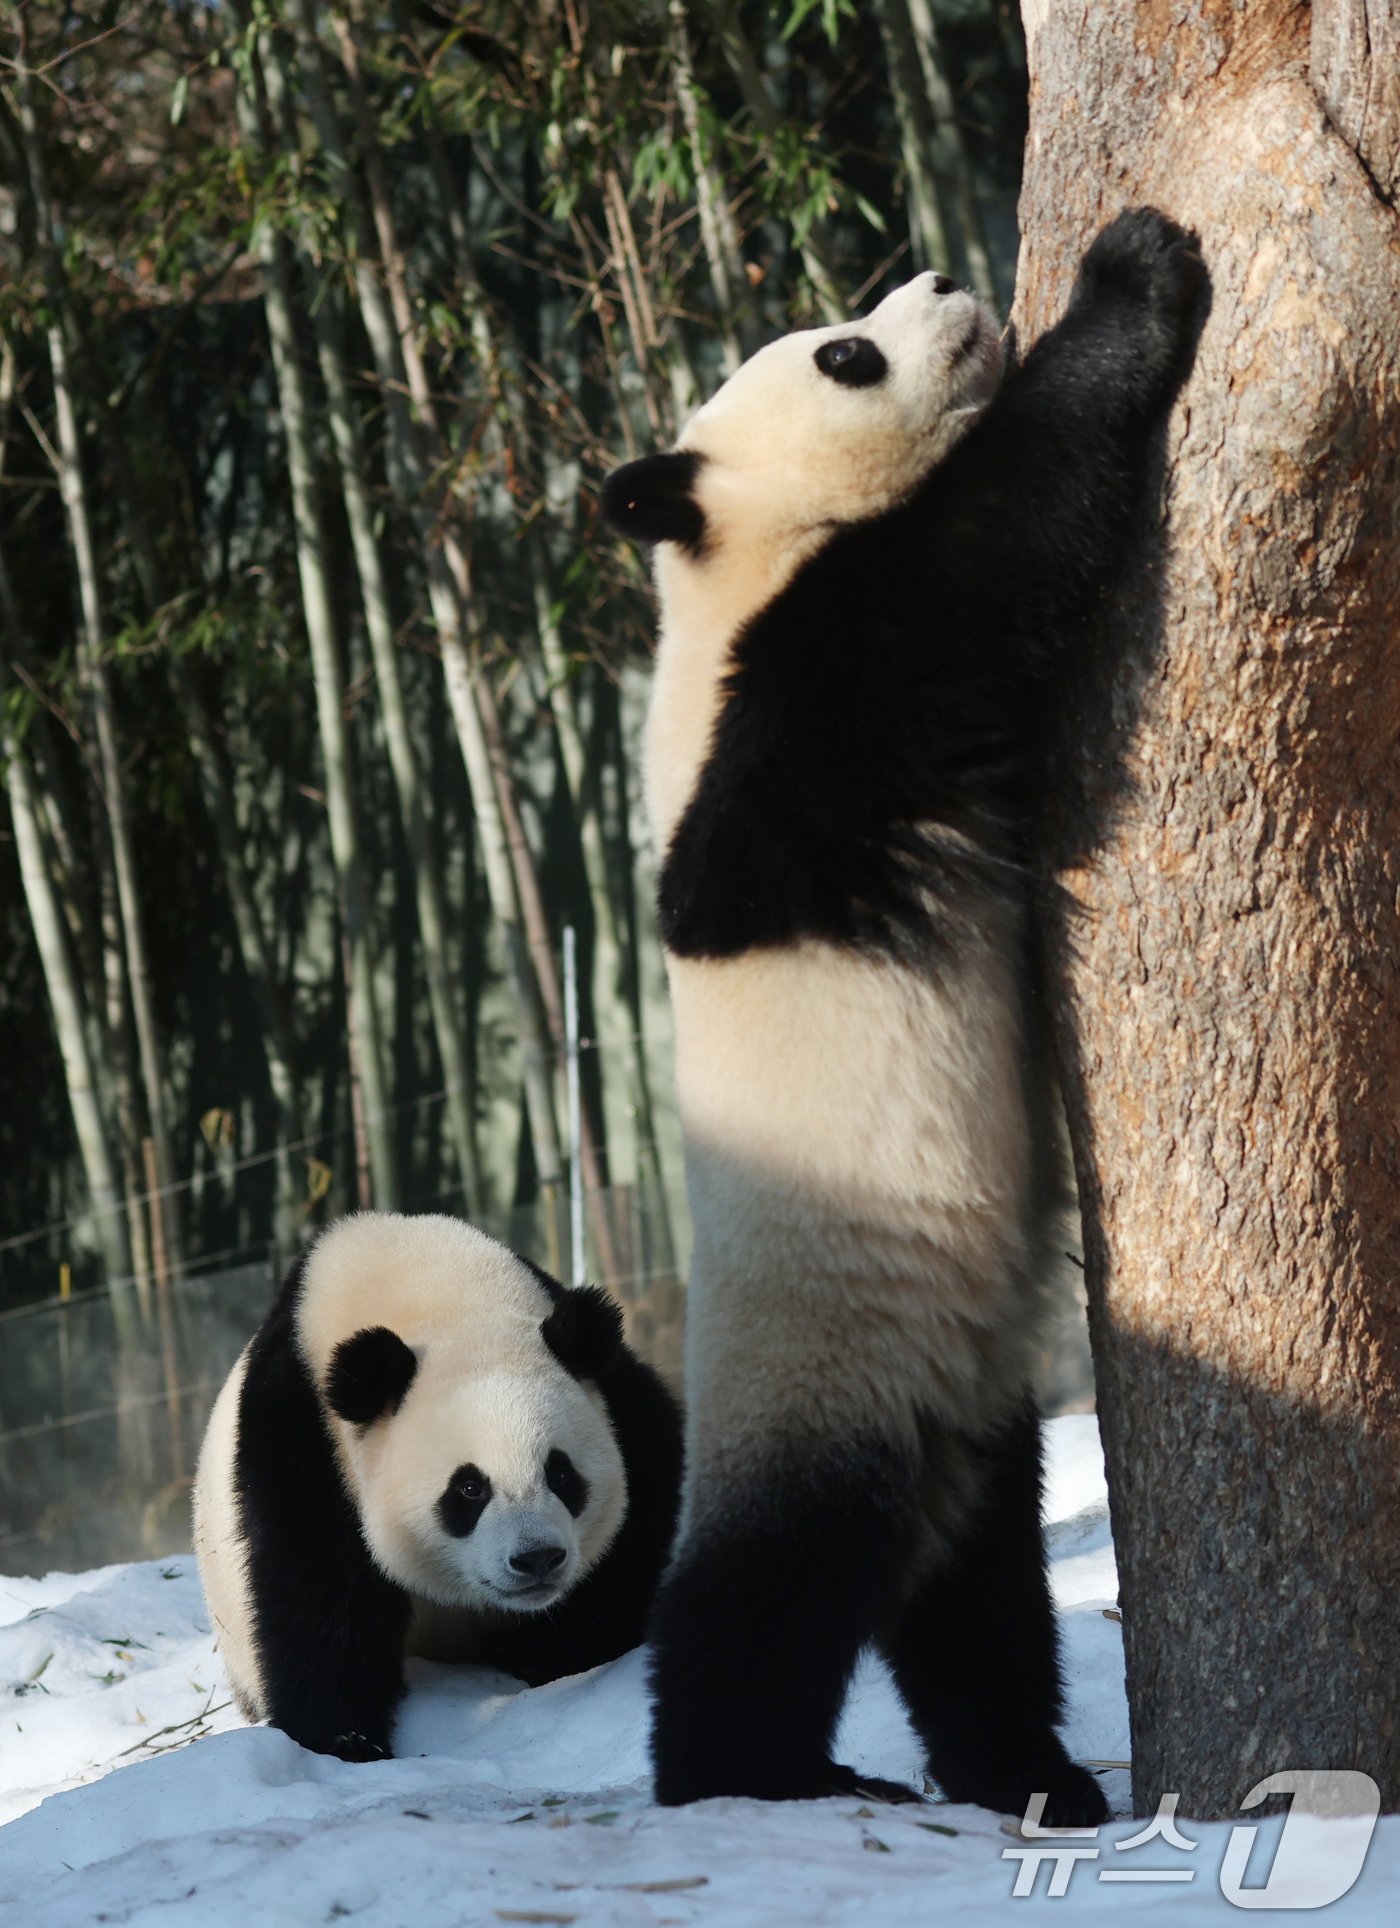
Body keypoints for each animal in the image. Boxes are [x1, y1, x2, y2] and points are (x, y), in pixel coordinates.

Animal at [191, 1218, 686, 1766]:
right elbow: (313, 1586)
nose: (537, 1559)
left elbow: (645, 1509)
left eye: (561, 1474)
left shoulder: (614, 1395)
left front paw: (545, 1650)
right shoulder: (303, 1434)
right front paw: (345, 1740)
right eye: (469, 1489)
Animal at [601, 211, 1203, 1820]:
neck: (726, 565)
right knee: (765, 1593)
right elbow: (978, 552)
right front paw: (1130, 277)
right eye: (843, 354)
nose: (935, 278)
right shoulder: (793, 711)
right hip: (819, 1368)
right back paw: (753, 1776)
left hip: (973, 1418)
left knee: (976, 1610)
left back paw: (1032, 1775)